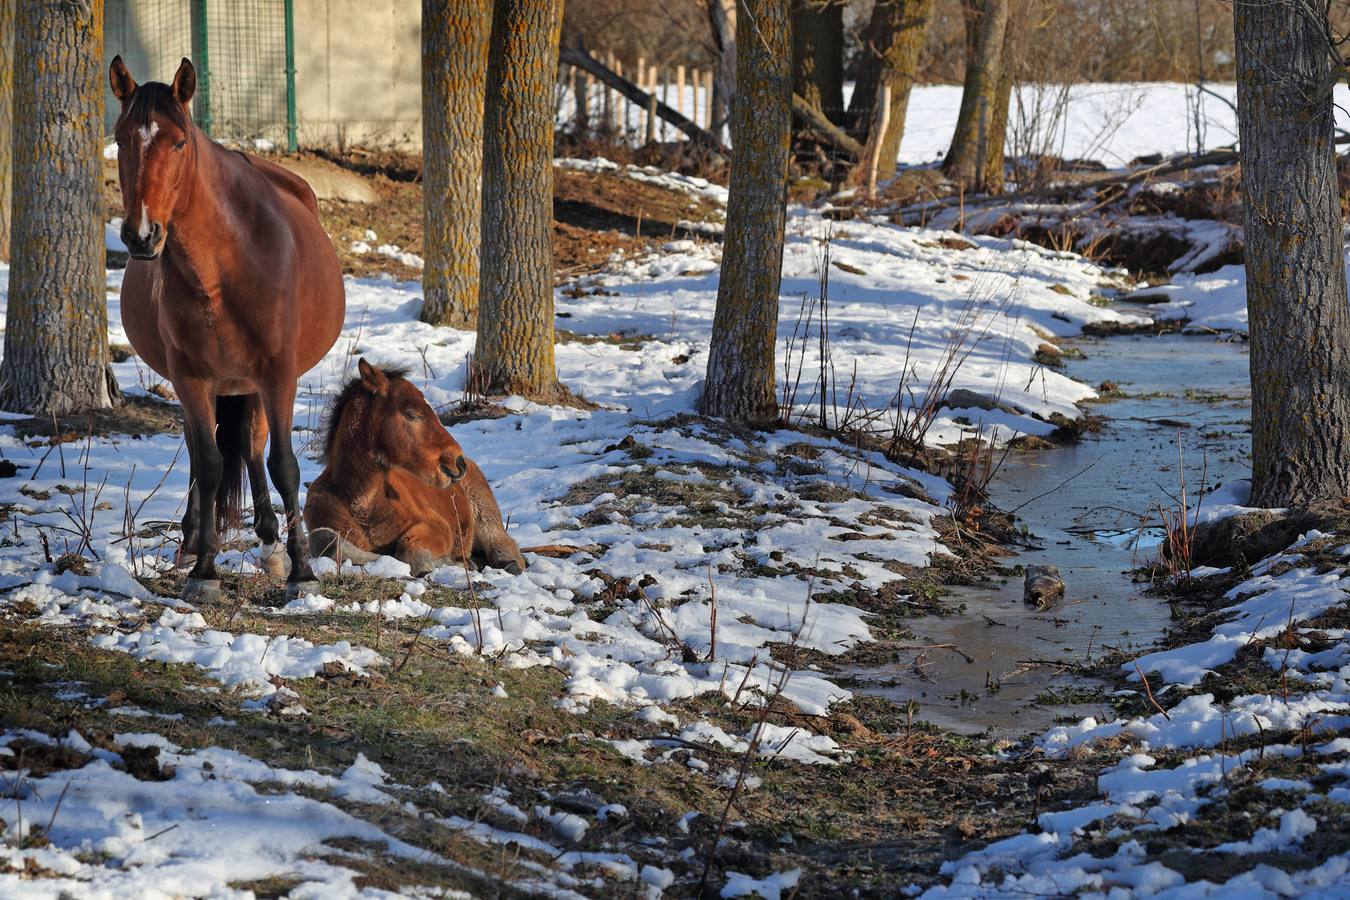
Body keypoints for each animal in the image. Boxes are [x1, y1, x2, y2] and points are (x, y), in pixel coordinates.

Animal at [110, 58, 345, 604]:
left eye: (179, 142)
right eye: (120, 139)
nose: (141, 235)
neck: (225, 266)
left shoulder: (278, 374)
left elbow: (283, 464)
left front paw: (303, 572)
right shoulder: (192, 378)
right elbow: (211, 465)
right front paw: (204, 570)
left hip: (253, 384)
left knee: (256, 447)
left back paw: (271, 540)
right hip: (211, 385)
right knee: (206, 455)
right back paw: (193, 541)